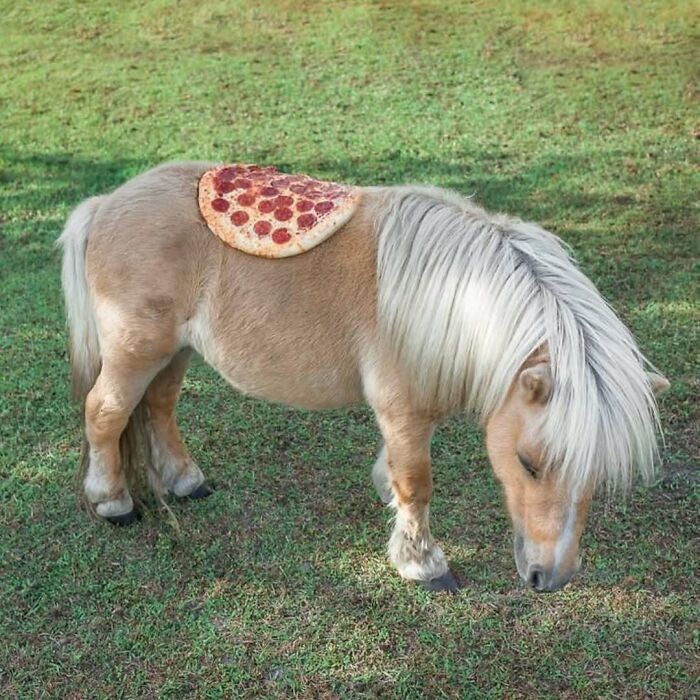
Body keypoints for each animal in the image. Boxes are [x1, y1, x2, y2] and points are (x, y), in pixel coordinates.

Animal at [57, 161, 668, 593]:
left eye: (596, 473)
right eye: (528, 464)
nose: (552, 578)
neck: (454, 298)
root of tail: (105, 205)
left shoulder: (411, 408)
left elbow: (398, 472)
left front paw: (391, 508)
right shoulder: (403, 408)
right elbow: (418, 481)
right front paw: (424, 563)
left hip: (175, 352)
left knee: (159, 408)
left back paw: (186, 481)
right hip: (137, 350)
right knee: (106, 413)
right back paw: (113, 502)